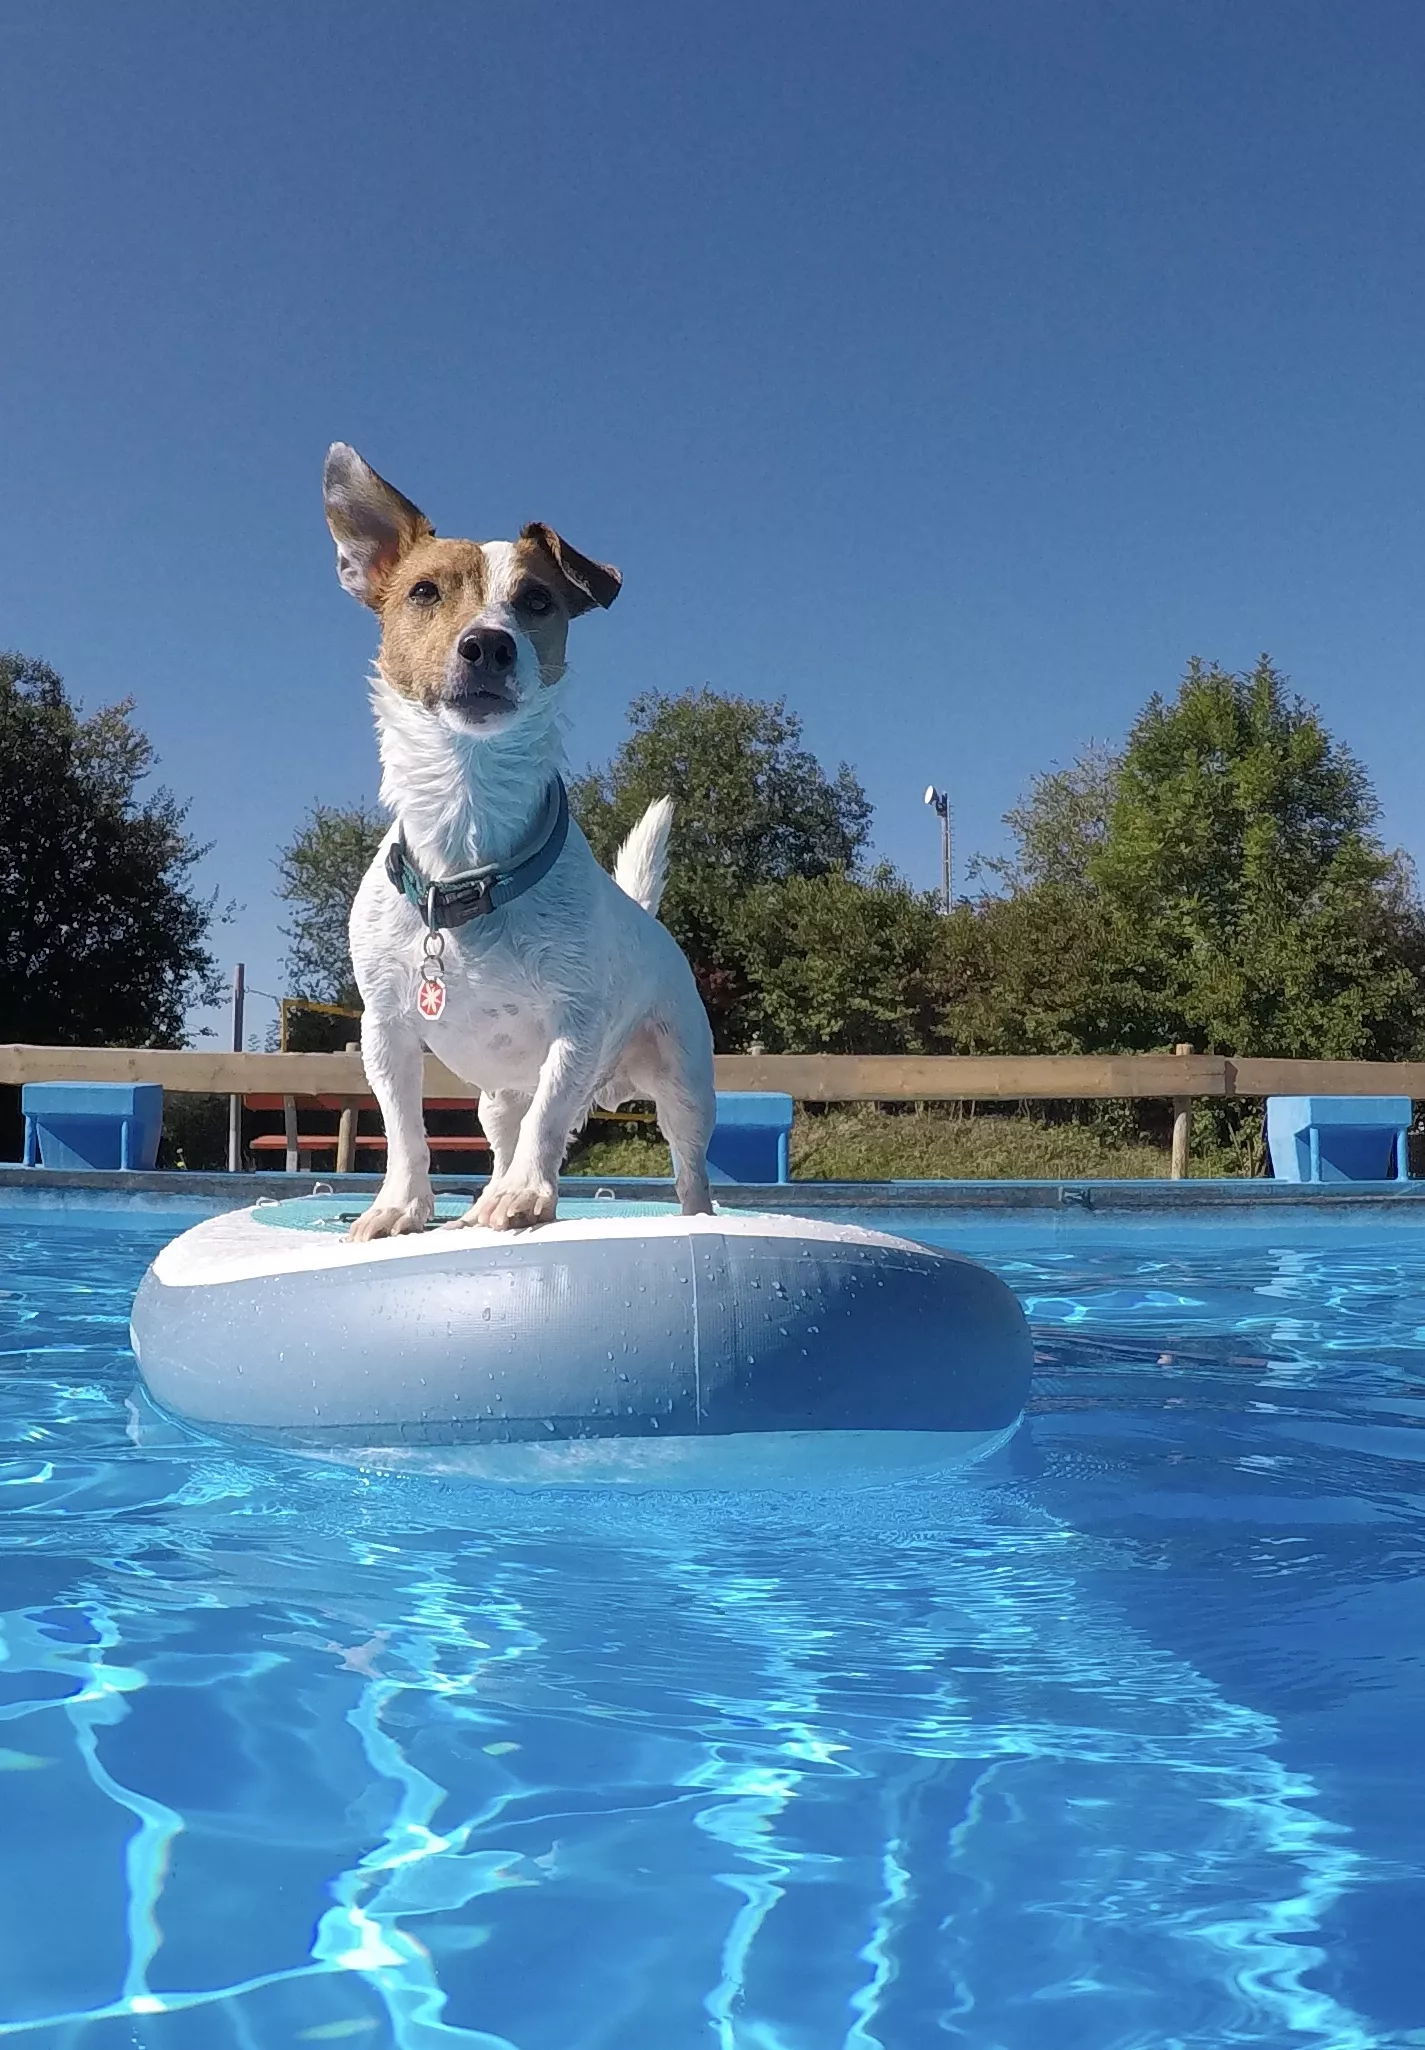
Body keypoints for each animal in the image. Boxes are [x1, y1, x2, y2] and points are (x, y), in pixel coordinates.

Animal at [328, 444, 717, 1230]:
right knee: (507, 1130)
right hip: (494, 1098)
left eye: (538, 601)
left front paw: (527, 1195)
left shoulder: (576, 1023)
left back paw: (688, 1214)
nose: (487, 643)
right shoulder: (385, 1032)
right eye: (423, 592)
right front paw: (402, 1205)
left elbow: (550, 1112)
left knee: (686, 1167)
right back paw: (486, 1195)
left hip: (685, 1086)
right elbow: (403, 1127)